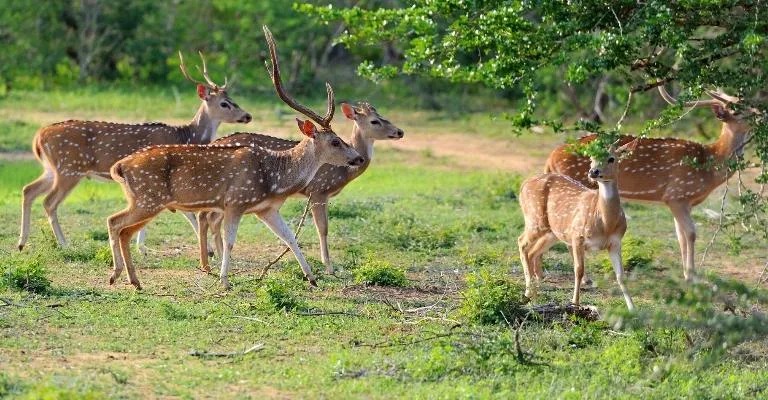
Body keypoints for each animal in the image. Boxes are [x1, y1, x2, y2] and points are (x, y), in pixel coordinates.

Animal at [18, 52, 251, 252]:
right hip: (70, 169)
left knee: (28, 190)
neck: (185, 137)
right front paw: (208, 250)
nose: (247, 115)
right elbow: (187, 213)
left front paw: (141, 247)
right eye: (225, 103)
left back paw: (22, 242)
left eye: (233, 99)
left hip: (52, 169)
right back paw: (63, 243)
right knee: (49, 202)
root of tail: (39, 136)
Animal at [105, 25, 364, 290]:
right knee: (117, 224)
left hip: (143, 200)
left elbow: (291, 238)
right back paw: (125, 277)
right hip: (149, 199)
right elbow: (230, 241)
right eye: (335, 141)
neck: (275, 178)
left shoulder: (266, 209)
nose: (358, 158)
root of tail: (120, 166)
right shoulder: (236, 201)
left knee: (119, 226)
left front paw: (312, 278)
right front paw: (225, 281)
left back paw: (128, 278)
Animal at [194, 101, 405, 273]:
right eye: (375, 121)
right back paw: (211, 262)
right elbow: (323, 228)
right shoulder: (319, 190)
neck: (342, 173)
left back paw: (215, 260)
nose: (400, 132)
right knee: (206, 216)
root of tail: (214, 142)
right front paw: (329, 267)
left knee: (209, 217)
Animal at [519, 140, 638, 310]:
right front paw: (575, 302)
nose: (593, 171)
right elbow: (578, 270)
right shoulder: (577, 236)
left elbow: (621, 275)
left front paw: (632, 308)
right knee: (521, 242)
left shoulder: (615, 242)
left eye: (611, 158)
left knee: (532, 251)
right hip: (534, 219)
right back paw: (528, 292)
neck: (605, 224)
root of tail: (523, 185)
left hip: (553, 231)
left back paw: (536, 289)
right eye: (591, 158)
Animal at [545, 86, 755, 282]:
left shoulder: (681, 202)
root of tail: (551, 157)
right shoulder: (677, 195)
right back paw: (587, 279)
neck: (709, 166)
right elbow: (691, 234)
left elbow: (681, 236)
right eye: (736, 110)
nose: (758, 113)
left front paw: (687, 274)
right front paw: (692, 277)